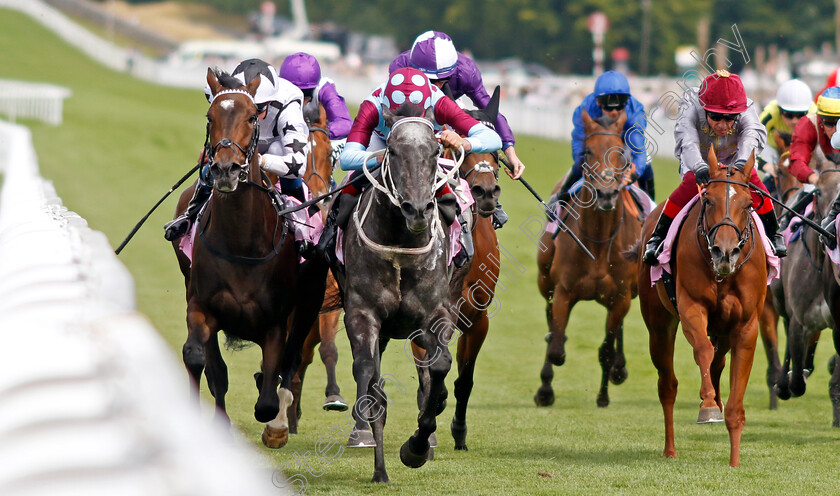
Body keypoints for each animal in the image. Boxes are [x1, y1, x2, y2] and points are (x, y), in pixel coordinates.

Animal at [171, 69, 328, 450]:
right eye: (210, 117)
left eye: (252, 117)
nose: (225, 170)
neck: (242, 243)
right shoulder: (200, 304)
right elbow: (201, 360)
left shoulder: (275, 323)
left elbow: (269, 392)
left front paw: (275, 423)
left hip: (310, 302)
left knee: (291, 363)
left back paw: (279, 424)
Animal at [342, 106, 466, 482]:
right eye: (393, 151)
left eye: (437, 151)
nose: (418, 209)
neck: (399, 244)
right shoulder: (362, 313)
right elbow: (369, 378)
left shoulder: (435, 314)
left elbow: (439, 366)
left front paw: (417, 446)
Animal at [536, 111, 640, 406]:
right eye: (587, 151)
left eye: (622, 153)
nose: (605, 194)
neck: (598, 241)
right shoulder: (563, 291)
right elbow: (556, 347)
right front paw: (545, 390)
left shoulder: (621, 298)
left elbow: (606, 348)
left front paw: (604, 394)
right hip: (544, 279)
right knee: (550, 320)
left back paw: (619, 368)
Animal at [636, 146, 768, 464]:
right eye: (708, 200)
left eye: (748, 204)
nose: (725, 252)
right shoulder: (691, 307)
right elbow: (702, 350)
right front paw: (707, 404)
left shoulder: (746, 326)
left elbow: (735, 403)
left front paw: (734, 462)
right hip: (658, 326)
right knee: (668, 384)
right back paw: (670, 448)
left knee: (719, 361)